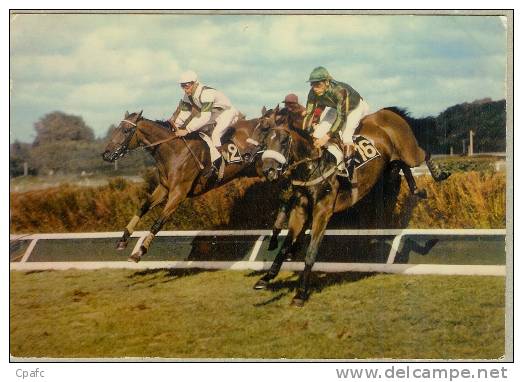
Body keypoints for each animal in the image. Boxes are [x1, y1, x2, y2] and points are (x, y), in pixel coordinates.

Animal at [100, 109, 276, 262]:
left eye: (126, 130)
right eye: (116, 129)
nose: (106, 154)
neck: (173, 151)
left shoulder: (179, 193)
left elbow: (158, 222)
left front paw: (140, 251)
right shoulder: (164, 188)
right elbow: (143, 207)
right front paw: (123, 239)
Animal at [254, 107, 450, 308]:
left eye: (284, 141)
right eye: (265, 140)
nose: (269, 171)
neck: (312, 166)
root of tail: (388, 111)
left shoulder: (323, 211)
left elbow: (311, 251)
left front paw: (300, 294)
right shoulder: (300, 209)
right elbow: (285, 245)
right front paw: (265, 278)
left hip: (409, 151)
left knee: (423, 154)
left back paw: (439, 173)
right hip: (391, 163)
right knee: (403, 166)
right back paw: (418, 190)